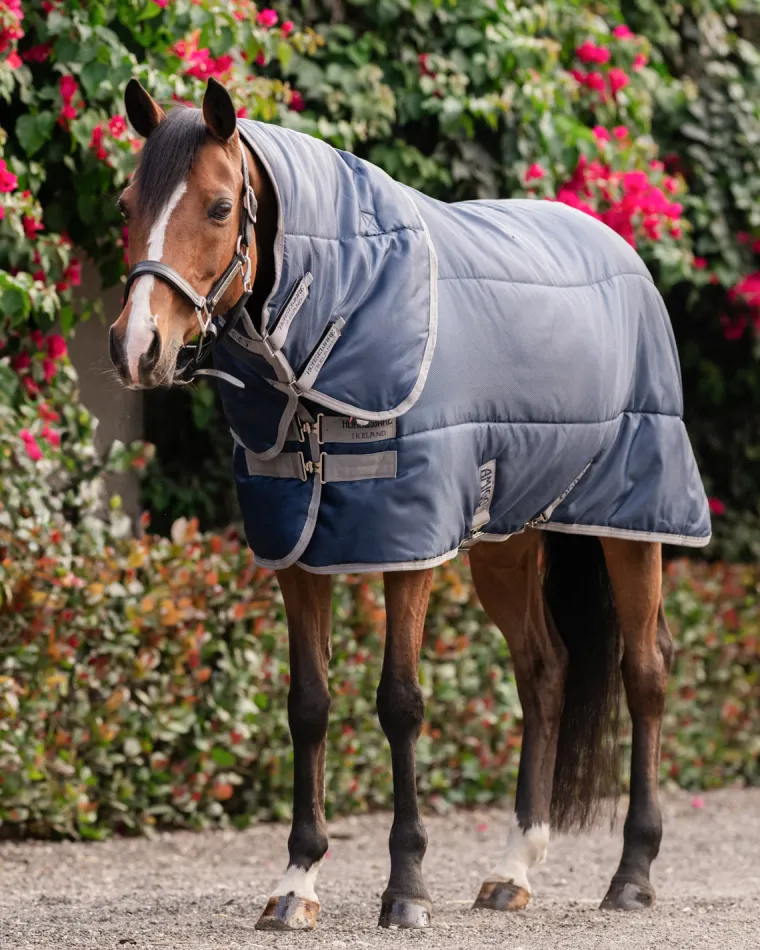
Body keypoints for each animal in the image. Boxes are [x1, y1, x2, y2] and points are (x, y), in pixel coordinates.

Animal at [109, 76, 711, 931]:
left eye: (221, 207)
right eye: (128, 204)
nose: (138, 348)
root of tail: (622, 253)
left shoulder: (410, 548)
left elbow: (400, 703)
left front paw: (406, 889)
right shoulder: (297, 554)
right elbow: (308, 705)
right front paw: (297, 882)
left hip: (634, 521)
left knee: (646, 670)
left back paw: (632, 873)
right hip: (508, 542)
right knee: (545, 670)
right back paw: (513, 870)